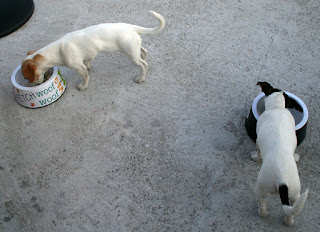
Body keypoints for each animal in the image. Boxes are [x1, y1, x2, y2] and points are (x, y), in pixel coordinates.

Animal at [21, 11, 165, 90]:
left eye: (27, 76)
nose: (34, 85)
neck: (56, 51)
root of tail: (131, 27)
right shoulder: (86, 58)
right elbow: (88, 62)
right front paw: (89, 66)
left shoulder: (78, 67)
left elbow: (85, 77)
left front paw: (83, 87)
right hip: (134, 48)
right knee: (144, 51)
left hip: (130, 53)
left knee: (143, 64)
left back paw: (141, 77)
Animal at [251, 82, 308, 227]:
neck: (277, 108)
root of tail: (283, 182)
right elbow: (294, 149)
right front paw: (296, 157)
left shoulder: (258, 141)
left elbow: (258, 152)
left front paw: (255, 157)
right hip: (295, 194)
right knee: (291, 212)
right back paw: (288, 222)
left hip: (261, 186)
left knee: (262, 205)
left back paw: (260, 210)